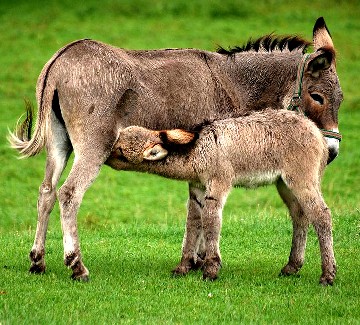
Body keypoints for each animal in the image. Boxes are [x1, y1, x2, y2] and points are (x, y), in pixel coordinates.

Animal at [108, 109, 336, 284]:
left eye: (120, 151)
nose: (104, 155)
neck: (198, 149)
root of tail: (316, 131)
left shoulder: (218, 183)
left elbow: (211, 220)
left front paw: (210, 270)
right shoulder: (197, 187)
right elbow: (193, 222)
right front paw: (183, 267)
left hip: (302, 179)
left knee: (321, 216)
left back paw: (328, 275)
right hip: (285, 184)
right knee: (300, 216)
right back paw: (292, 266)